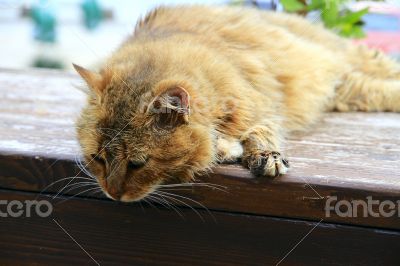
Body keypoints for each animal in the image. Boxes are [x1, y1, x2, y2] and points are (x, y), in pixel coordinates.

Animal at [73, 5, 400, 202]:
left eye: (138, 164)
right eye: (98, 158)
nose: (113, 194)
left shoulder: (261, 106)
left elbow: (259, 133)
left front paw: (263, 156)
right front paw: (225, 148)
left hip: (349, 67)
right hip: (350, 91)